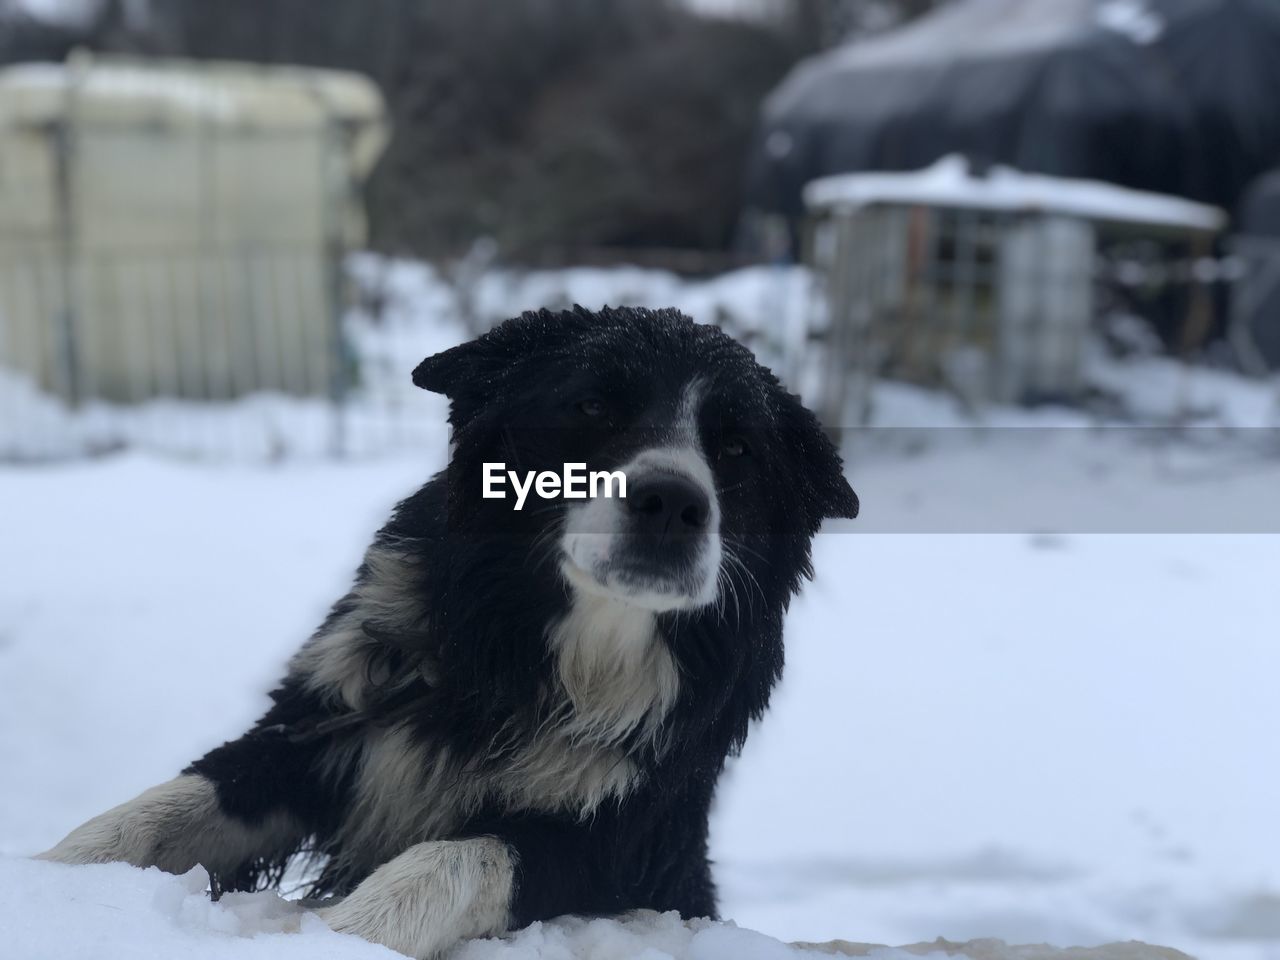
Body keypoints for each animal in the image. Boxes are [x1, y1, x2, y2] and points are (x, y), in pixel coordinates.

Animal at [37, 308, 860, 960]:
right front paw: (46, 882)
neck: (532, 654)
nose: (672, 504)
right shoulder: (316, 729)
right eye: (592, 404)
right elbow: (155, 810)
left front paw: (339, 940)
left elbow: (451, 860)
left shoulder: (615, 844)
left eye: (739, 449)